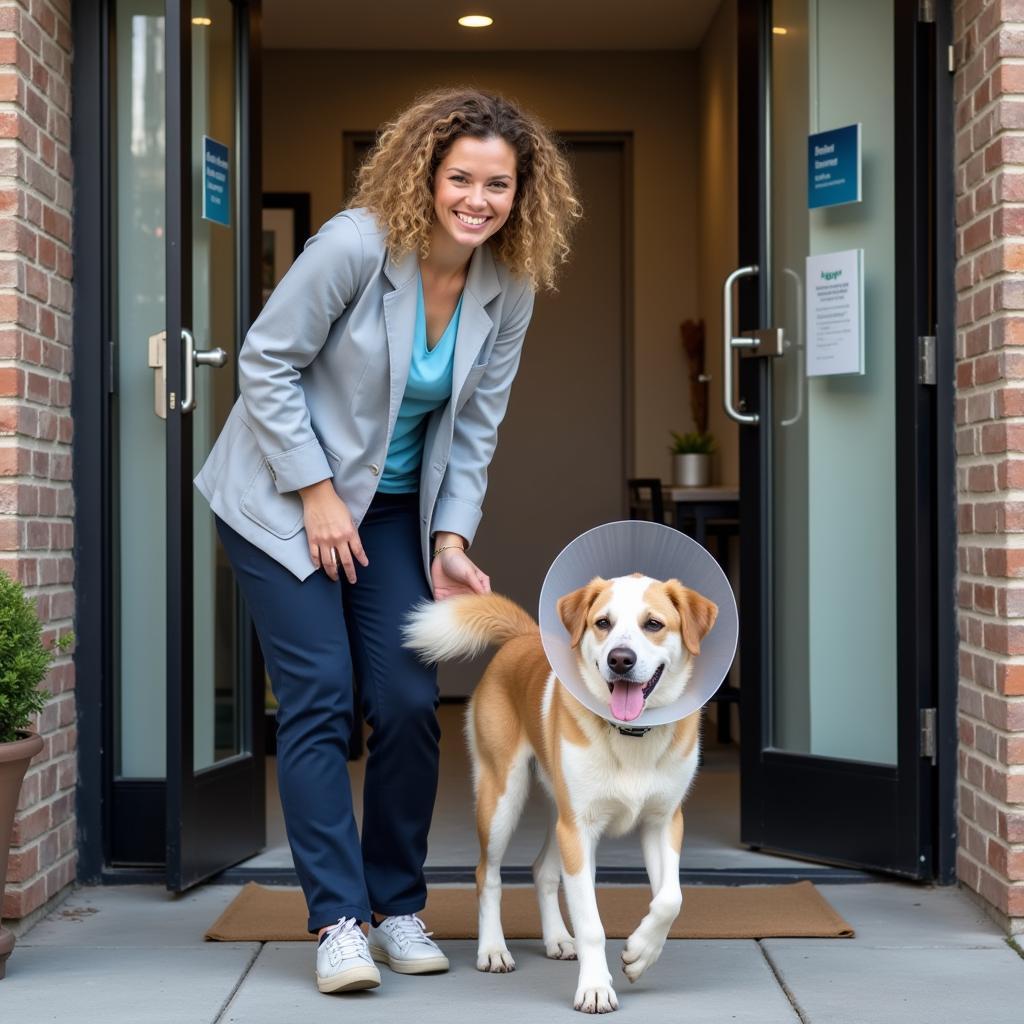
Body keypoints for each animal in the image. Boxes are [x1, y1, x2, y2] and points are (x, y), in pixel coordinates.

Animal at [401, 573, 720, 1011]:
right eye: (602, 623)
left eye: (653, 624)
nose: (620, 659)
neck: (631, 735)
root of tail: (523, 635)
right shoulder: (579, 830)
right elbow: (591, 923)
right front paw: (596, 988)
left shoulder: (663, 822)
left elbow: (671, 899)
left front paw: (640, 952)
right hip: (502, 797)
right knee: (488, 875)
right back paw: (493, 949)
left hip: (559, 814)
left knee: (543, 871)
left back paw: (556, 939)